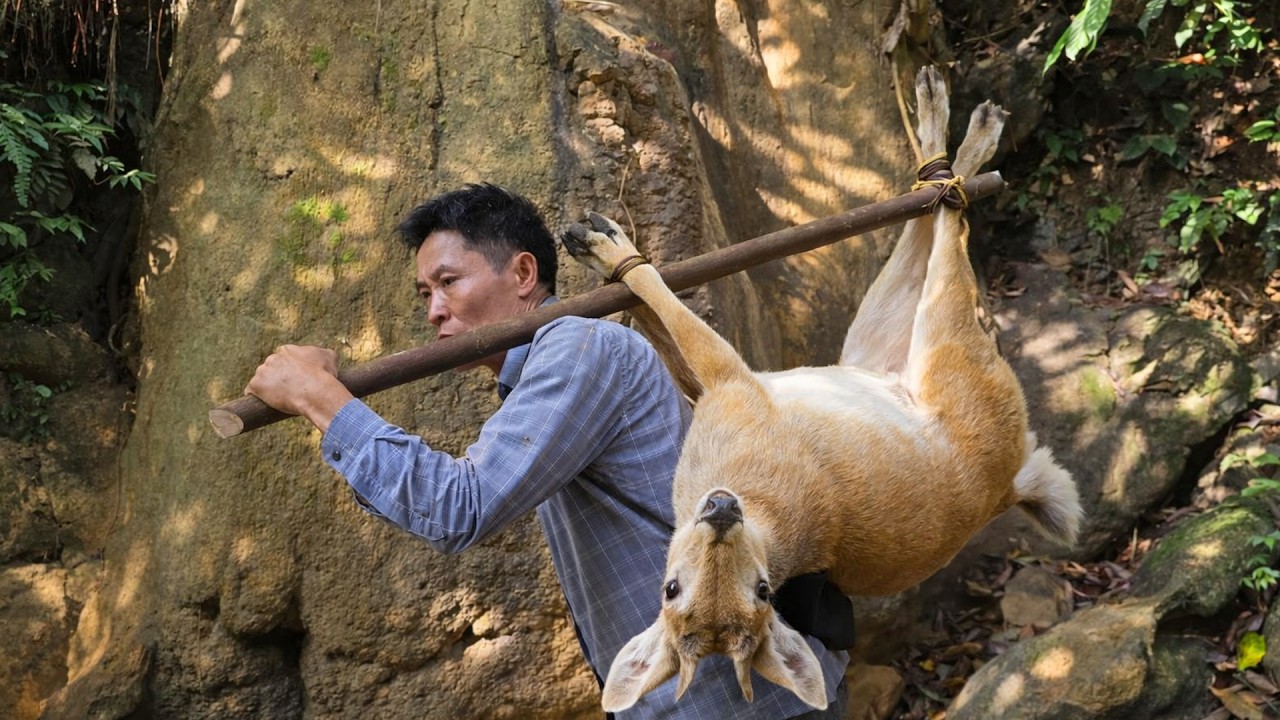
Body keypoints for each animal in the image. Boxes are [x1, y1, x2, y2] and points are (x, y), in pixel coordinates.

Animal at [560, 66, 1082, 713]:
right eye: (671, 589)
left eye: (763, 591)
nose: (720, 511)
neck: (761, 514)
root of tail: (1011, 483)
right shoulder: (716, 392)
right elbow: (664, 329)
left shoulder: (733, 382)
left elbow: (666, 307)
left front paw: (614, 254)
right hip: (878, 345)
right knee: (929, 228)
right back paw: (951, 136)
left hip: (946, 345)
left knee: (947, 230)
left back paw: (955, 134)